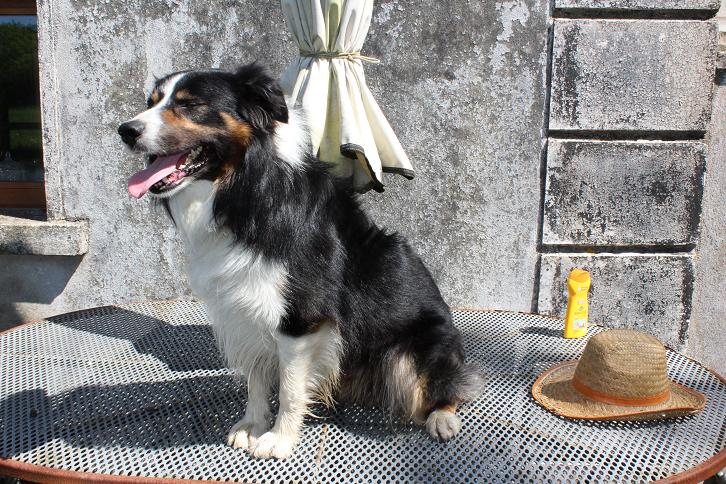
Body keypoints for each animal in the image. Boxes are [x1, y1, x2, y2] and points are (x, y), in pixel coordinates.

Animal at [118, 63, 481, 459]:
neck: (245, 193)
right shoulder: (243, 308)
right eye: (150, 102)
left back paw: (442, 416)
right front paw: (252, 424)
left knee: (446, 384)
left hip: (415, 350)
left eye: (190, 105)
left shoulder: (300, 317)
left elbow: (291, 388)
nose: (125, 130)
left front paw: (278, 439)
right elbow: (257, 377)